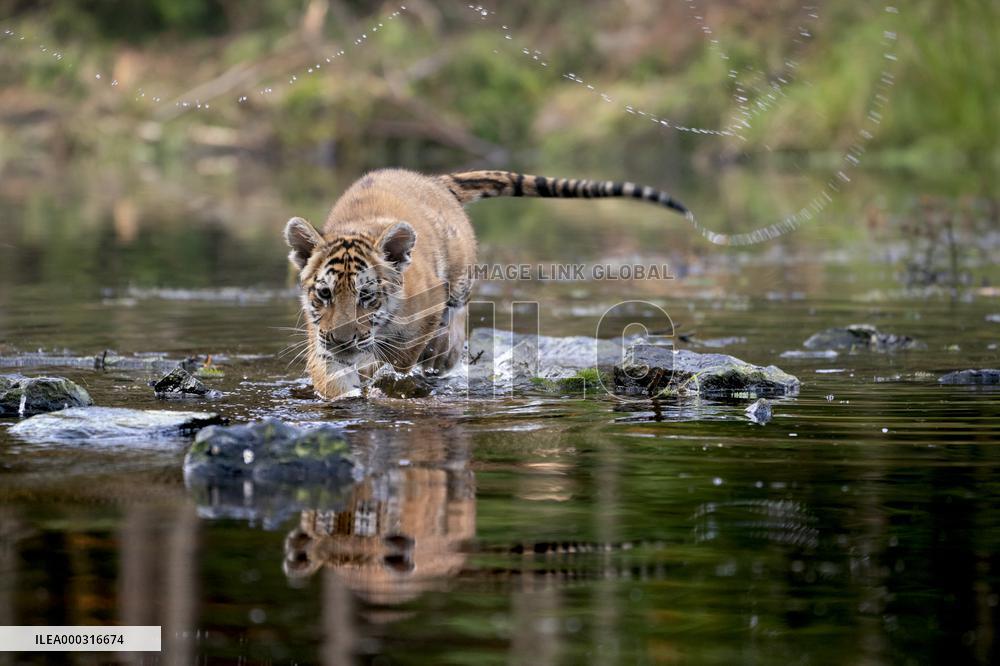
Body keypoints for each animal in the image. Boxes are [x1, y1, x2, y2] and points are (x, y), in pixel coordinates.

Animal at [284, 168, 690, 399]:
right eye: (324, 294)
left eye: (367, 297)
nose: (343, 340)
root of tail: (432, 181)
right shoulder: (322, 337)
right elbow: (333, 375)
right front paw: (348, 390)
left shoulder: (421, 319)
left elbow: (400, 358)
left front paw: (380, 371)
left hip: (460, 281)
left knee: (453, 328)